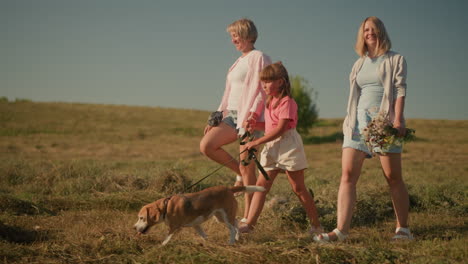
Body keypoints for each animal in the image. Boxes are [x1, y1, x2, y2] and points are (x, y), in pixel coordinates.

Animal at [133, 186, 266, 245]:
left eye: (141, 218)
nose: (134, 228)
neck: (166, 206)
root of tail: (228, 188)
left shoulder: (174, 228)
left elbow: (166, 239)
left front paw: (160, 247)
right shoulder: (196, 225)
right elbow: (204, 235)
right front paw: (208, 244)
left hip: (226, 217)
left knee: (233, 228)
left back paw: (231, 242)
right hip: (221, 218)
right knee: (237, 223)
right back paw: (238, 237)